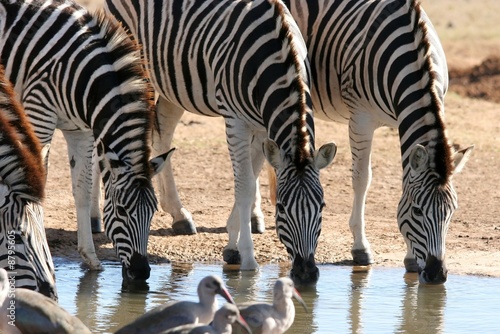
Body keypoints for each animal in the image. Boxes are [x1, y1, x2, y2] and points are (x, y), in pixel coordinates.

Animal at [0, 0, 171, 282]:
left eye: (154, 212)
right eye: (122, 210)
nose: (141, 272)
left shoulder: (81, 132)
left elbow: (82, 188)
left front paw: (90, 257)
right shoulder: (39, 113)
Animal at [104, 0, 340, 284]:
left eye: (322, 206)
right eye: (281, 208)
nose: (306, 273)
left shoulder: (262, 125)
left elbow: (250, 179)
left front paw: (232, 245)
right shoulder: (236, 120)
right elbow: (244, 187)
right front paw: (248, 260)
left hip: (173, 81)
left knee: (162, 130)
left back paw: (178, 214)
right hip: (134, 61)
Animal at [278, 0, 472, 284]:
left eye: (452, 212)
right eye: (417, 211)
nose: (437, 275)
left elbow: (405, 181)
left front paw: (410, 257)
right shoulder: (360, 119)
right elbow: (361, 179)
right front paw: (361, 248)